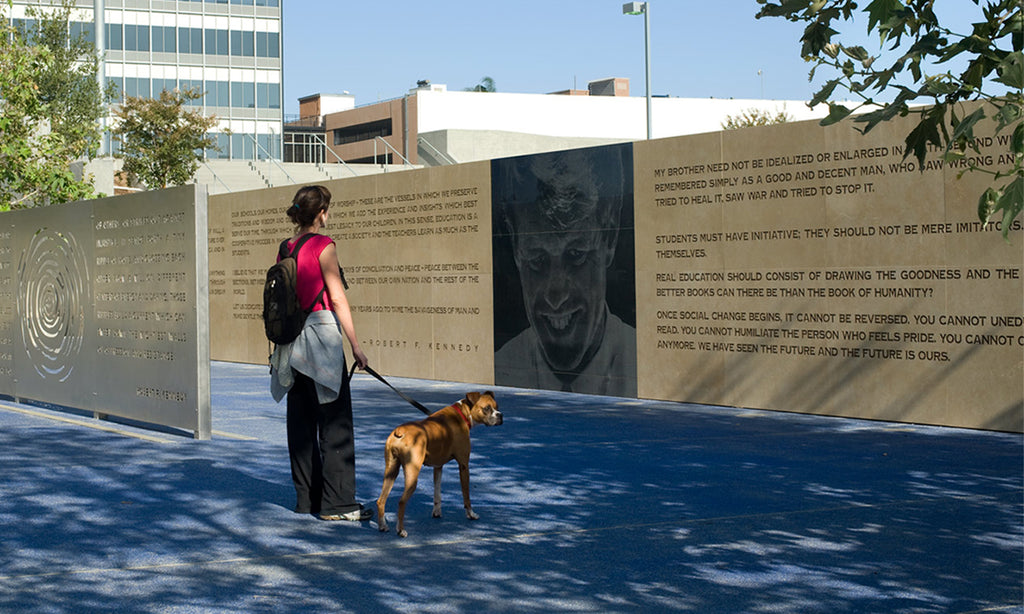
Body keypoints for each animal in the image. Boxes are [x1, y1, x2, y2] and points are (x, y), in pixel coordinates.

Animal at [376, 392, 503, 536]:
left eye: (497, 406)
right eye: (486, 408)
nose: (500, 415)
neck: (463, 413)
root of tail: (399, 431)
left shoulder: (438, 467)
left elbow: (437, 492)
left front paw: (437, 512)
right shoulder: (464, 465)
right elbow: (466, 494)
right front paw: (471, 514)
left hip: (391, 472)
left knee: (381, 500)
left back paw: (383, 526)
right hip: (412, 474)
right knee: (401, 501)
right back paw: (401, 530)